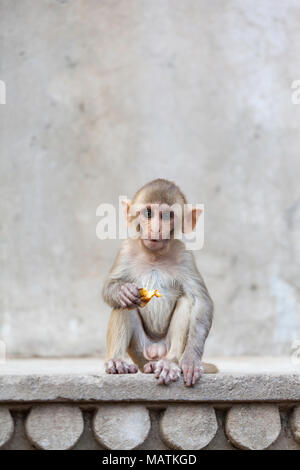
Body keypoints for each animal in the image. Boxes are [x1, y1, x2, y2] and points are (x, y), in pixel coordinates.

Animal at [102, 179, 217, 386]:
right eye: (148, 213)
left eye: (167, 216)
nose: (156, 228)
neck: (154, 256)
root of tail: (155, 353)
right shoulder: (126, 249)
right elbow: (110, 287)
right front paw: (122, 291)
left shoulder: (185, 256)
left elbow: (201, 302)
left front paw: (191, 359)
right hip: (139, 350)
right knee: (124, 306)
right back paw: (117, 361)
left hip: (164, 346)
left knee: (187, 302)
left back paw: (169, 363)